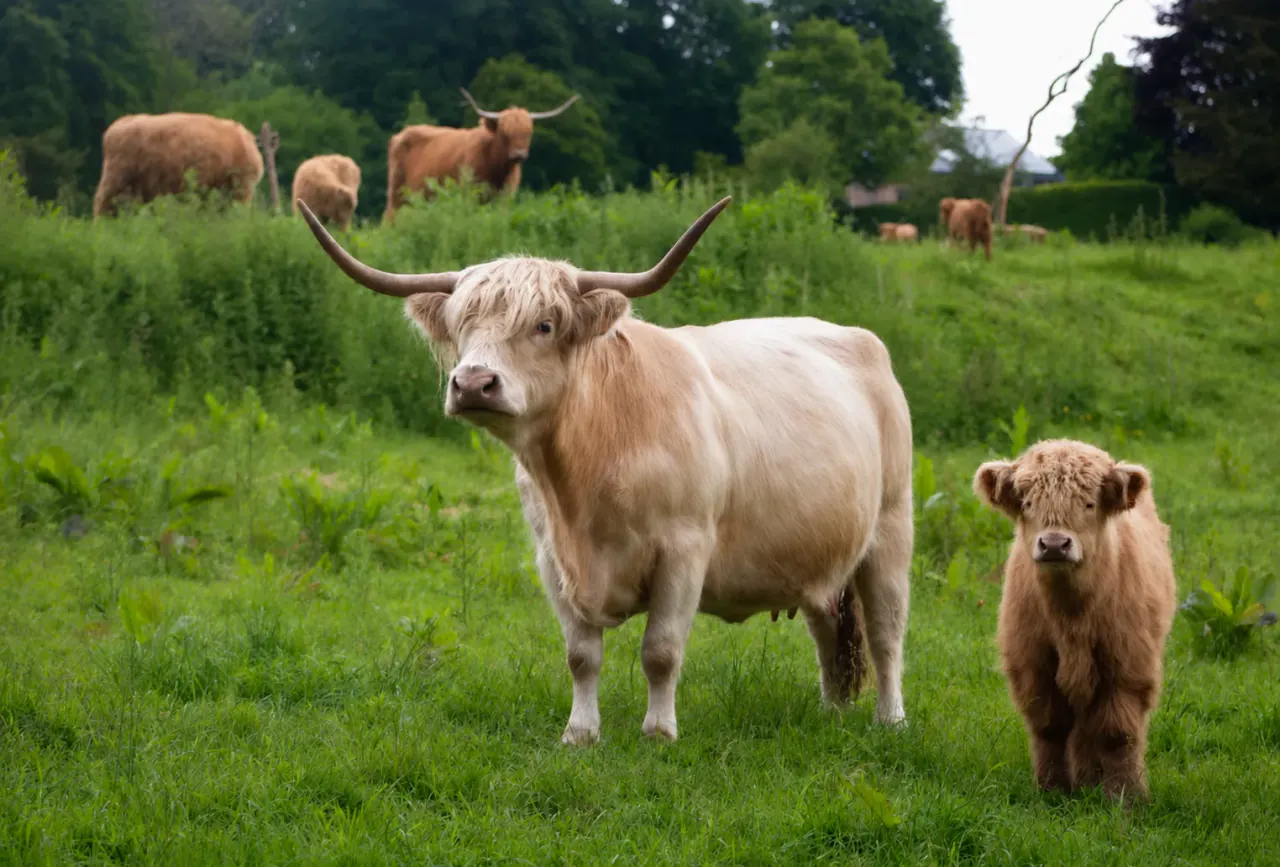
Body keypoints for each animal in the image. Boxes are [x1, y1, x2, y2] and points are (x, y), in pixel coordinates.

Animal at [296, 197, 915, 744]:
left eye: (545, 325)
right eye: (460, 325)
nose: (473, 383)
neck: (586, 475)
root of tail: (860, 338)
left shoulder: (685, 550)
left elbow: (660, 651)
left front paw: (659, 731)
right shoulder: (552, 558)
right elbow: (581, 655)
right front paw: (580, 732)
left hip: (890, 529)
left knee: (887, 633)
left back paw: (890, 720)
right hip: (822, 552)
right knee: (828, 629)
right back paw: (832, 712)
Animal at [383, 88, 580, 223]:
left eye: (527, 133)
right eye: (505, 133)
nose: (518, 154)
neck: (496, 169)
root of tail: (402, 133)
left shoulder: (503, 197)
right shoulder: (470, 194)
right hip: (397, 193)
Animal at [974, 440, 1177, 802]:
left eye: (1089, 503)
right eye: (1028, 503)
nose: (1054, 544)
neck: (1069, 616)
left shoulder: (1128, 664)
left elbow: (1117, 733)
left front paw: (1126, 797)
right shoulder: (1033, 664)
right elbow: (1050, 727)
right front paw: (1052, 791)